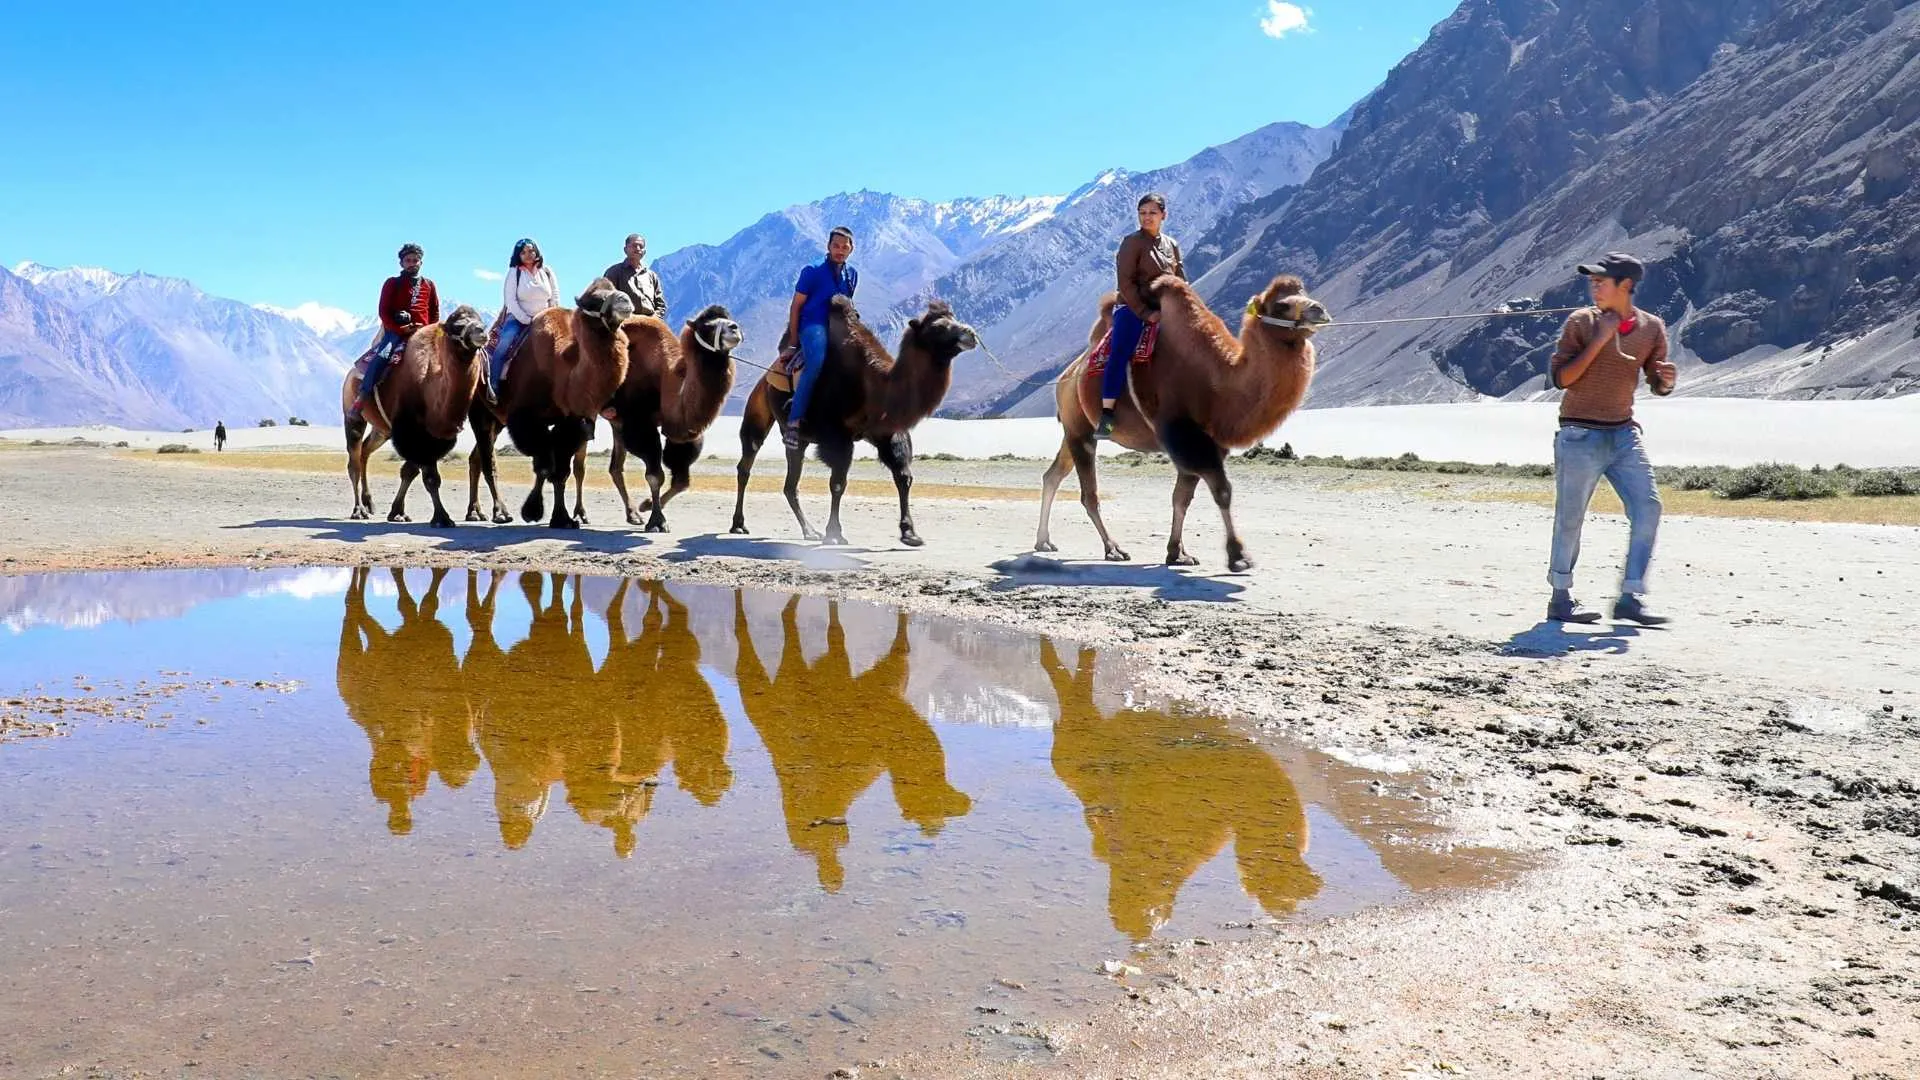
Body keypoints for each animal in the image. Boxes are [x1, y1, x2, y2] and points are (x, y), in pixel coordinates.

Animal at [340, 305, 489, 526]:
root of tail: (351, 373)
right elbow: (429, 478)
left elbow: (411, 472)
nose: (482, 332)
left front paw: (398, 512)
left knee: (365, 452)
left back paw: (370, 503)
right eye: (457, 325)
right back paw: (359, 510)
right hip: (353, 416)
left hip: (382, 430)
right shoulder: (413, 433)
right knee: (354, 462)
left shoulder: (429, 437)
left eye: (481, 320)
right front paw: (442, 517)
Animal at [465, 280, 634, 529]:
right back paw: (500, 512)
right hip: (481, 413)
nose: (625, 300)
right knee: (489, 462)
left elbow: (560, 470)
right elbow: (545, 466)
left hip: (498, 420)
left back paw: (475, 512)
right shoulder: (525, 418)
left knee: (476, 458)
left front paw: (562, 518)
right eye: (593, 300)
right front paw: (532, 510)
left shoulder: (572, 420)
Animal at [568, 304, 742, 531]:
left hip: (616, 421)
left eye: (728, 318)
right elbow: (654, 475)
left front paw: (646, 505)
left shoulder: (682, 433)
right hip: (587, 408)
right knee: (580, 465)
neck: (665, 378)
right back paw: (581, 514)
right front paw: (657, 521)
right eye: (708, 326)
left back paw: (633, 514)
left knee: (615, 467)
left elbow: (681, 481)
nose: (735, 328)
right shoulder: (640, 423)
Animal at [731, 297, 977, 547]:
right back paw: (740, 524)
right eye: (937, 327)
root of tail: (766, 377)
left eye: (954, 317)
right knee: (748, 461)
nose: (970, 333)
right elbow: (838, 483)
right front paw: (834, 533)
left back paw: (809, 531)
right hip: (759, 407)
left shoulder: (888, 432)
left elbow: (903, 476)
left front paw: (910, 533)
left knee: (790, 484)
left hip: (799, 439)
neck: (874, 385)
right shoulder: (836, 435)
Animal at [1034, 274, 1331, 571]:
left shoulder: (1207, 442)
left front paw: (1178, 553)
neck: (1219, 382)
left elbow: (1182, 498)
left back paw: (1044, 541)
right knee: (1089, 494)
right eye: (1281, 305)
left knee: (1054, 475)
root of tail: (1066, 376)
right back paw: (1113, 548)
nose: (1319, 310)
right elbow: (1222, 491)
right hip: (1079, 430)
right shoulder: (1185, 436)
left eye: (1304, 293)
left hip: (1073, 430)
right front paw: (1238, 555)